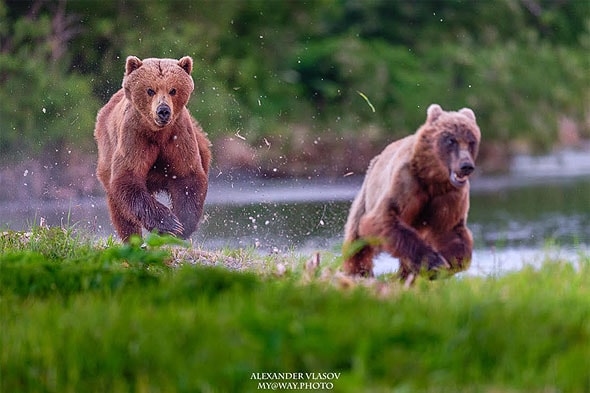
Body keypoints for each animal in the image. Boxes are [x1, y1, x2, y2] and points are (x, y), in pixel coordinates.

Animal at [94, 54, 210, 239]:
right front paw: (169, 224)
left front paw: (182, 225)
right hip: (106, 157)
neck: (158, 133)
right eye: (150, 90)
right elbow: (128, 178)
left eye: (173, 90)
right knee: (120, 212)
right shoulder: (135, 136)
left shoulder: (178, 136)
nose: (163, 110)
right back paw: (132, 238)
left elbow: (188, 176)